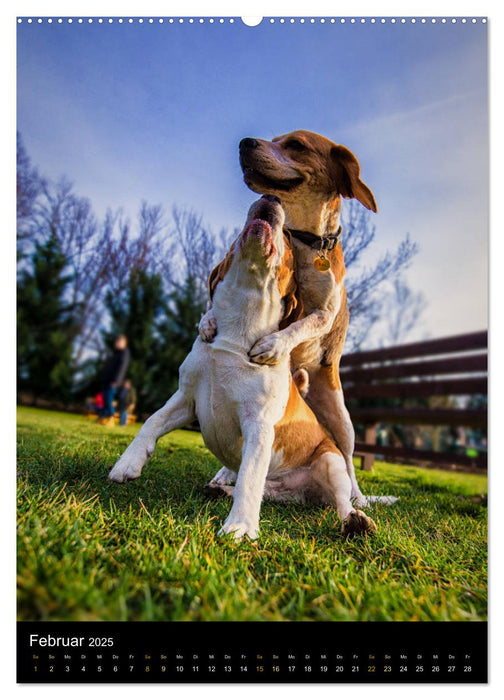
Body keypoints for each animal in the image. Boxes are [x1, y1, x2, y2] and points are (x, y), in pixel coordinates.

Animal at [110, 197, 378, 540]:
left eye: (287, 235)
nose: (270, 198)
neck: (240, 319)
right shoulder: (186, 399)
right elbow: (152, 421)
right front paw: (127, 464)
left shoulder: (258, 425)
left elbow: (250, 477)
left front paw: (240, 528)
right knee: (263, 490)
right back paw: (219, 489)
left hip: (332, 457)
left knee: (341, 498)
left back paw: (356, 519)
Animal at [201, 130, 394, 508]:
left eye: (296, 145)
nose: (245, 142)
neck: (305, 243)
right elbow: (214, 297)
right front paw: (208, 320)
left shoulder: (324, 313)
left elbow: (301, 324)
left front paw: (275, 344)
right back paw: (224, 475)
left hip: (342, 421)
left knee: (347, 460)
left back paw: (357, 498)